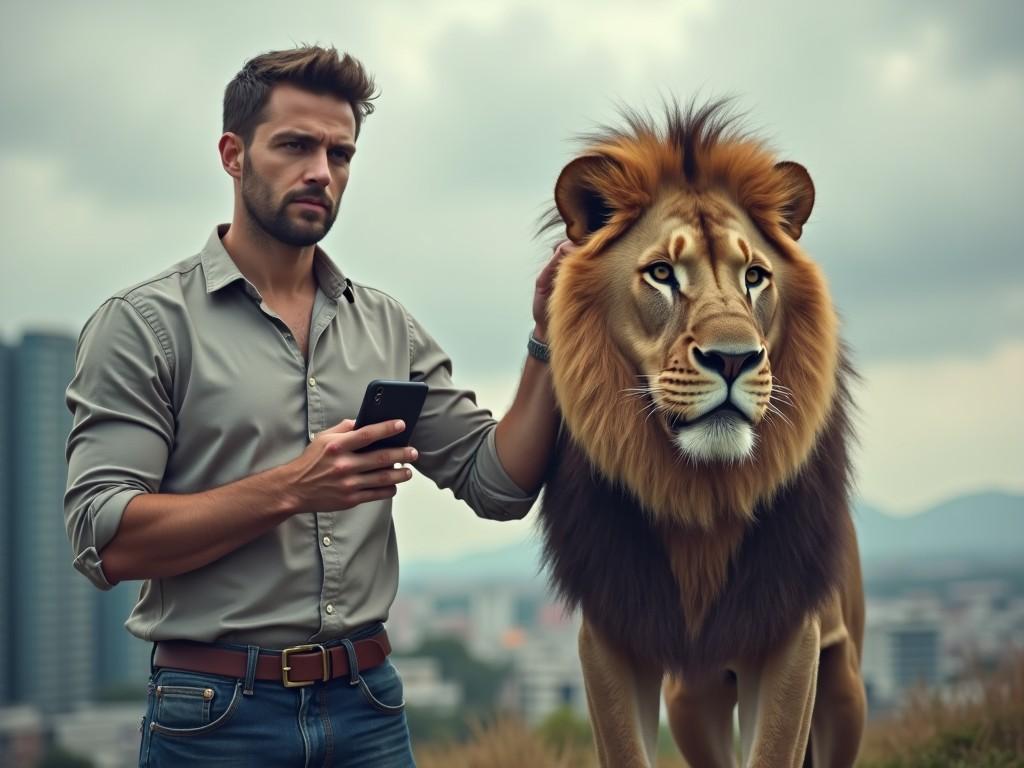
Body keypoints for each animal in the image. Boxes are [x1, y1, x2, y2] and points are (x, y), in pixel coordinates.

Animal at [540, 103, 868, 768]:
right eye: (662, 273)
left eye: (755, 277)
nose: (734, 358)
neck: (700, 501)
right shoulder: (610, 637)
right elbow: (626, 750)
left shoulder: (792, 635)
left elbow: (773, 751)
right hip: (693, 698)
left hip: (845, 685)